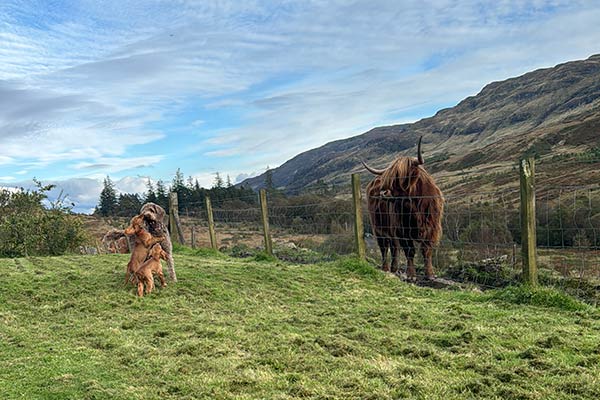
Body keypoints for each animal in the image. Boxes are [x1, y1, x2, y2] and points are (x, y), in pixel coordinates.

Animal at [364, 136, 442, 280]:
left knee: (394, 247)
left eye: (401, 176)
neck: (414, 206)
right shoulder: (402, 230)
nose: (383, 193)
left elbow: (427, 250)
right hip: (378, 228)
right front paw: (411, 275)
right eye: (388, 177)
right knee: (384, 247)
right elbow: (409, 251)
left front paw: (430, 274)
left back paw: (394, 268)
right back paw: (385, 268)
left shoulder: (431, 228)